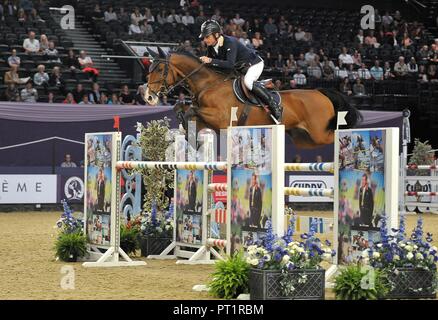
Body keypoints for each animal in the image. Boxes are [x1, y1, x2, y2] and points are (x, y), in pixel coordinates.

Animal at [145, 47, 362, 149]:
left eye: (159, 69)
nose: (148, 97)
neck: (208, 84)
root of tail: (320, 92)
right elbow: (185, 111)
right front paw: (185, 130)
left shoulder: (222, 119)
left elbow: (191, 109)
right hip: (304, 138)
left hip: (318, 134)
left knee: (337, 135)